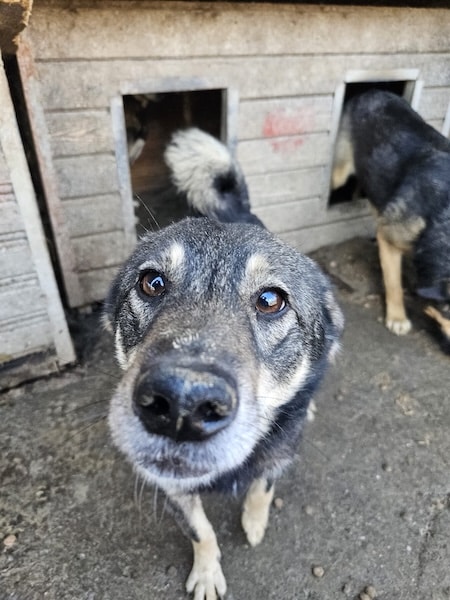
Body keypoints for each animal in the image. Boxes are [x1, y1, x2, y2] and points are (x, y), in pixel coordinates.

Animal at [104, 128, 344, 599]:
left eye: (271, 299)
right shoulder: (172, 486)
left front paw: (253, 521)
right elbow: (201, 531)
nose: (182, 406)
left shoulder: (275, 457)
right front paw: (207, 572)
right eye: (151, 282)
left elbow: (261, 489)